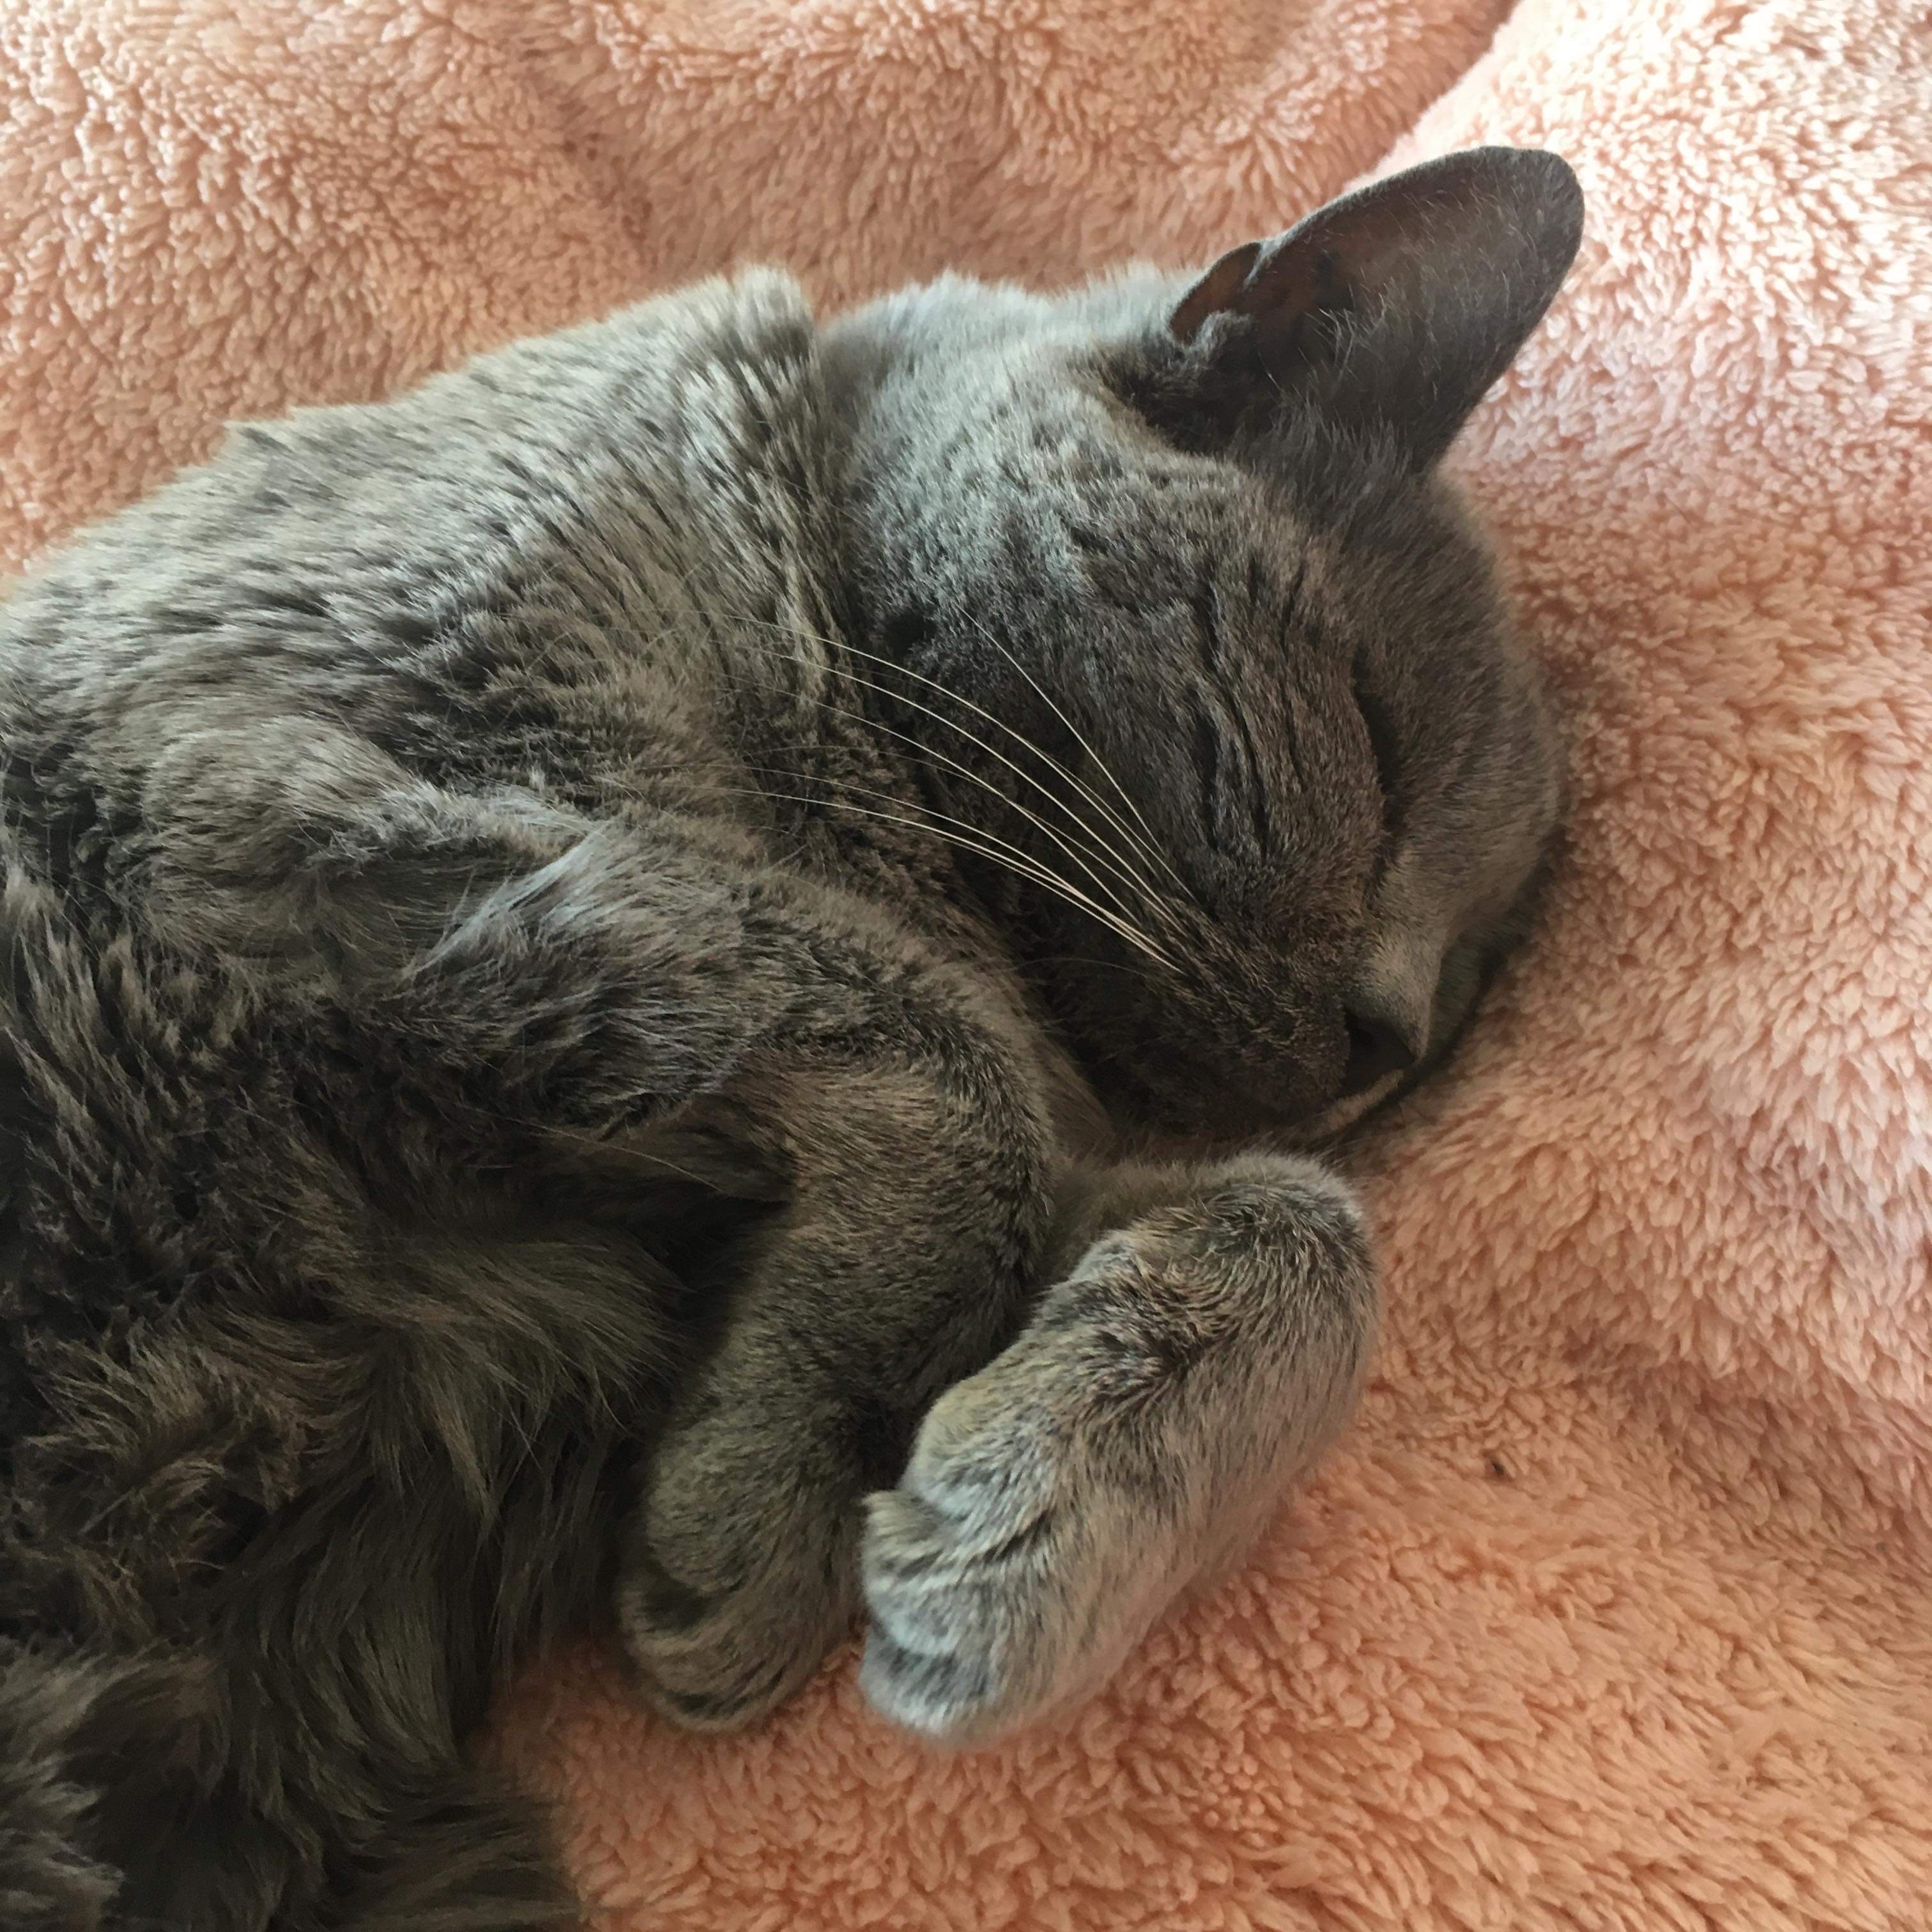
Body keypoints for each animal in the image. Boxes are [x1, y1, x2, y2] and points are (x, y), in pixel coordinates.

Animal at [0, 142, 1584, 1924]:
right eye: (1375, 742)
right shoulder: (305, 776)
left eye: (1481, 974)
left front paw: (1018, 1549)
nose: (1399, 1035)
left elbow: (1309, 1233)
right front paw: (759, 1523)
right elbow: (930, 1051)